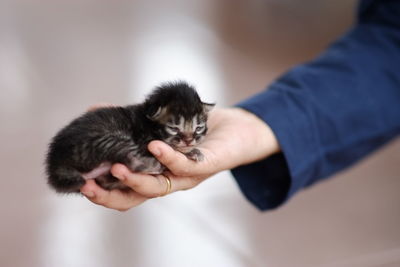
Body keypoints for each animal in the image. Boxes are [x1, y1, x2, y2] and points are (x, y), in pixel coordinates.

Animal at [45, 80, 214, 194]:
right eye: (174, 128)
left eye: (198, 128)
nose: (189, 141)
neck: (148, 122)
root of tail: (55, 162)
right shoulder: (146, 143)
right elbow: (174, 149)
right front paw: (191, 152)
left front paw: (194, 151)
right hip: (106, 140)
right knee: (133, 160)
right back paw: (157, 166)